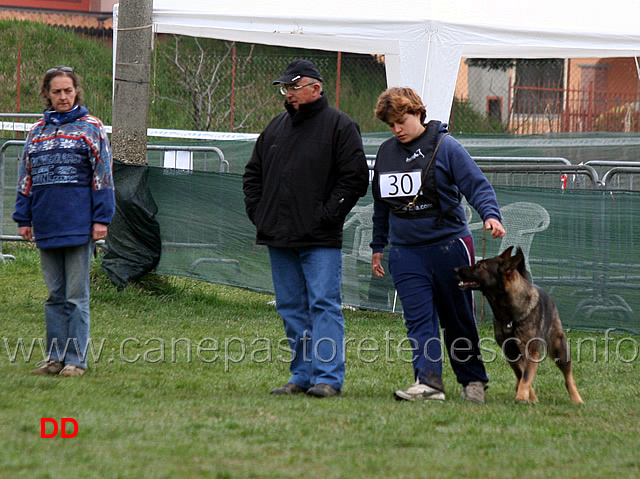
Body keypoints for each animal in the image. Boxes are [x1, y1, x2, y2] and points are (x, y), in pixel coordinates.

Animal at [456, 248, 584, 404]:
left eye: (480, 266)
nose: (455, 269)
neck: (510, 315)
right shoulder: (510, 352)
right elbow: (522, 374)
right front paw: (530, 397)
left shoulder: (531, 352)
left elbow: (527, 375)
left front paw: (522, 397)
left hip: (559, 349)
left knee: (568, 377)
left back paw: (577, 399)